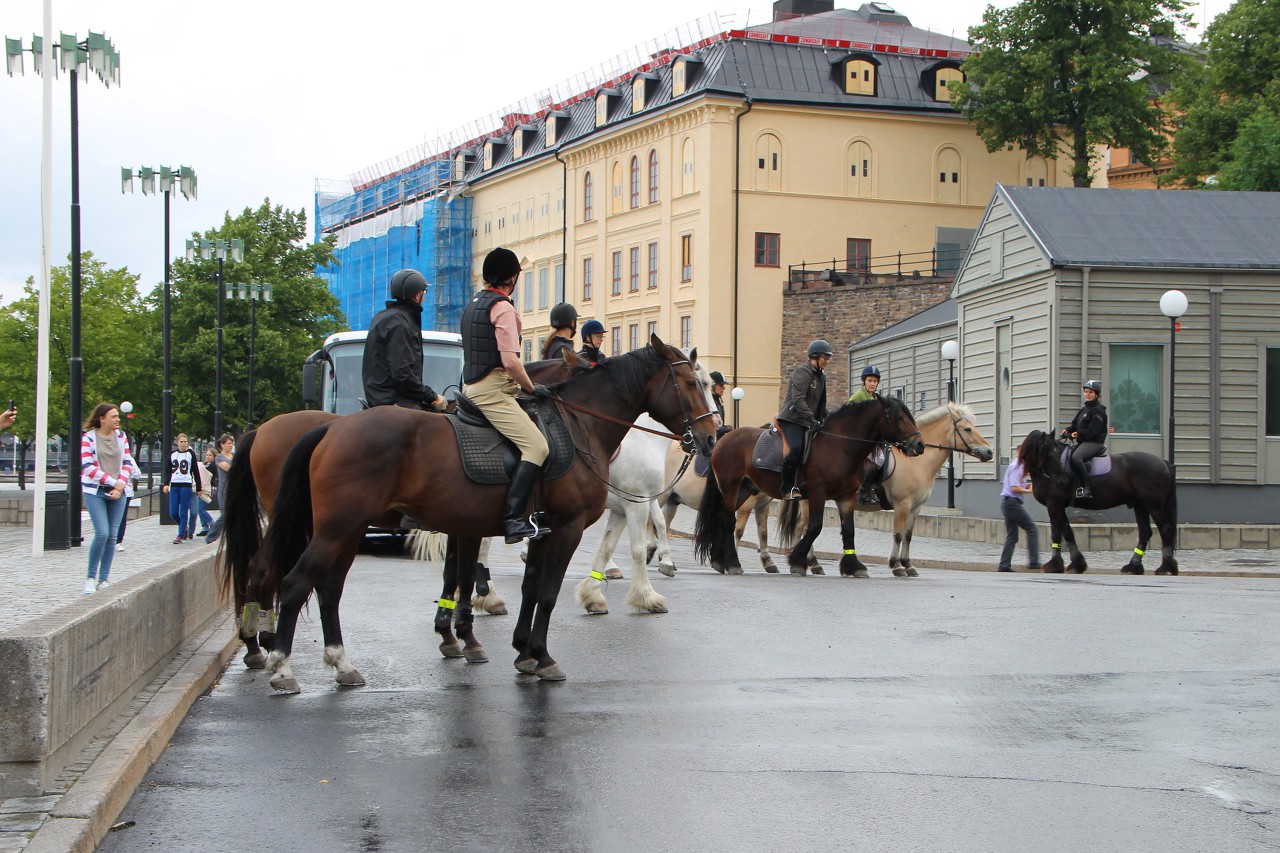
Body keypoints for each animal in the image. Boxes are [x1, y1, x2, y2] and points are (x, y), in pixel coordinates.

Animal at [244, 333, 716, 691]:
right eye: (691, 383)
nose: (714, 436)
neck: (579, 427)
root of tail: (331, 427)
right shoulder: (571, 526)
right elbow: (548, 590)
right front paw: (543, 654)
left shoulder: (542, 528)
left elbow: (528, 587)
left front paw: (523, 650)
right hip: (335, 530)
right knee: (293, 583)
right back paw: (280, 665)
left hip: (347, 530)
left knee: (327, 588)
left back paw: (339, 662)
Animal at [696, 394, 926, 573]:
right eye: (899, 417)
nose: (920, 444)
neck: (840, 445)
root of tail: (724, 437)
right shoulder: (817, 492)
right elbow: (815, 526)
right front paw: (798, 560)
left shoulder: (846, 497)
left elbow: (849, 530)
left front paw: (853, 565)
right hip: (731, 487)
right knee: (727, 520)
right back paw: (732, 563)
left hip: (744, 489)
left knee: (720, 517)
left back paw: (719, 560)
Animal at [1018, 427, 1177, 573]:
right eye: (1050, 455)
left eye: (1055, 453)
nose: (1063, 481)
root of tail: (1163, 462)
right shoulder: (1059, 506)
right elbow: (1067, 532)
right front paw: (1077, 563)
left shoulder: (1054, 504)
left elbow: (1056, 533)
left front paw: (1054, 564)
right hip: (1140, 505)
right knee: (1145, 532)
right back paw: (1134, 566)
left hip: (1154, 506)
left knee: (1165, 530)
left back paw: (1165, 567)